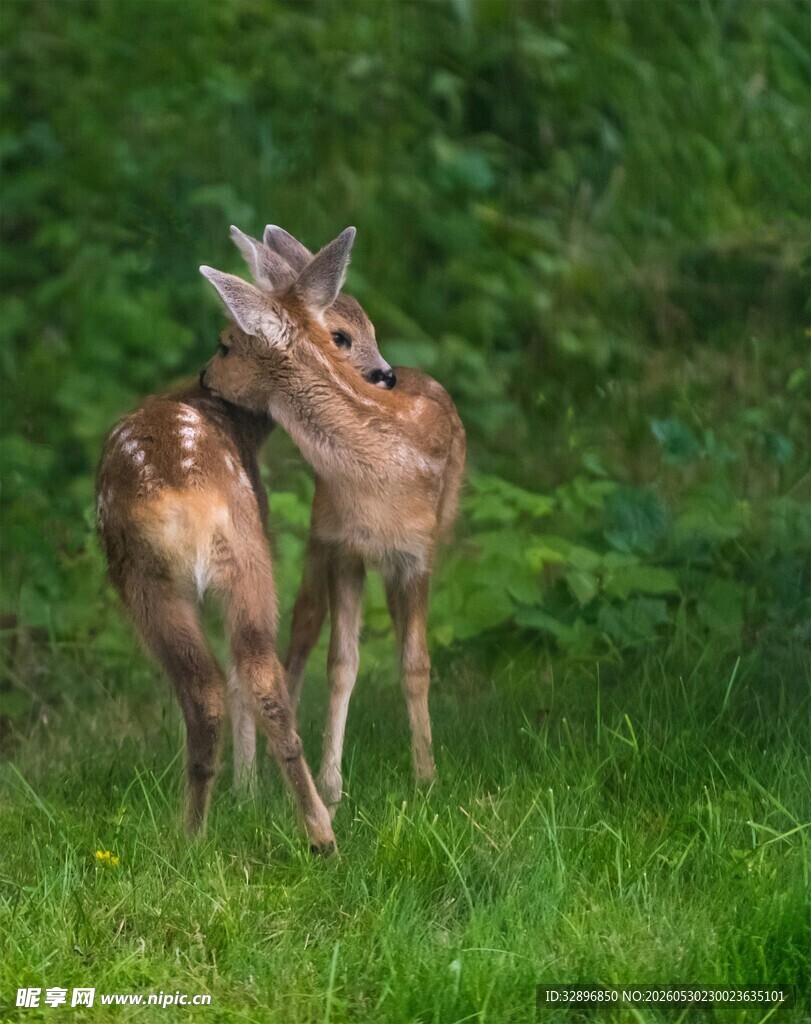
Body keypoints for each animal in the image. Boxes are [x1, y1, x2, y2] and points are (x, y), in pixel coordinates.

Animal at [95, 226, 396, 852]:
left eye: (225, 342)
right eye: (342, 334)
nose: (386, 376)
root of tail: (181, 494)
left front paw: (245, 792)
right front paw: (248, 792)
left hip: (157, 576)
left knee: (214, 684)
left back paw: (197, 831)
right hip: (240, 556)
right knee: (253, 675)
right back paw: (317, 832)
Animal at [200, 225, 466, 819]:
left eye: (226, 343)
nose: (203, 379)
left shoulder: (418, 553)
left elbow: (416, 663)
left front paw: (427, 777)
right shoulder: (343, 547)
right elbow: (341, 663)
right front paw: (330, 785)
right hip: (318, 538)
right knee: (301, 629)